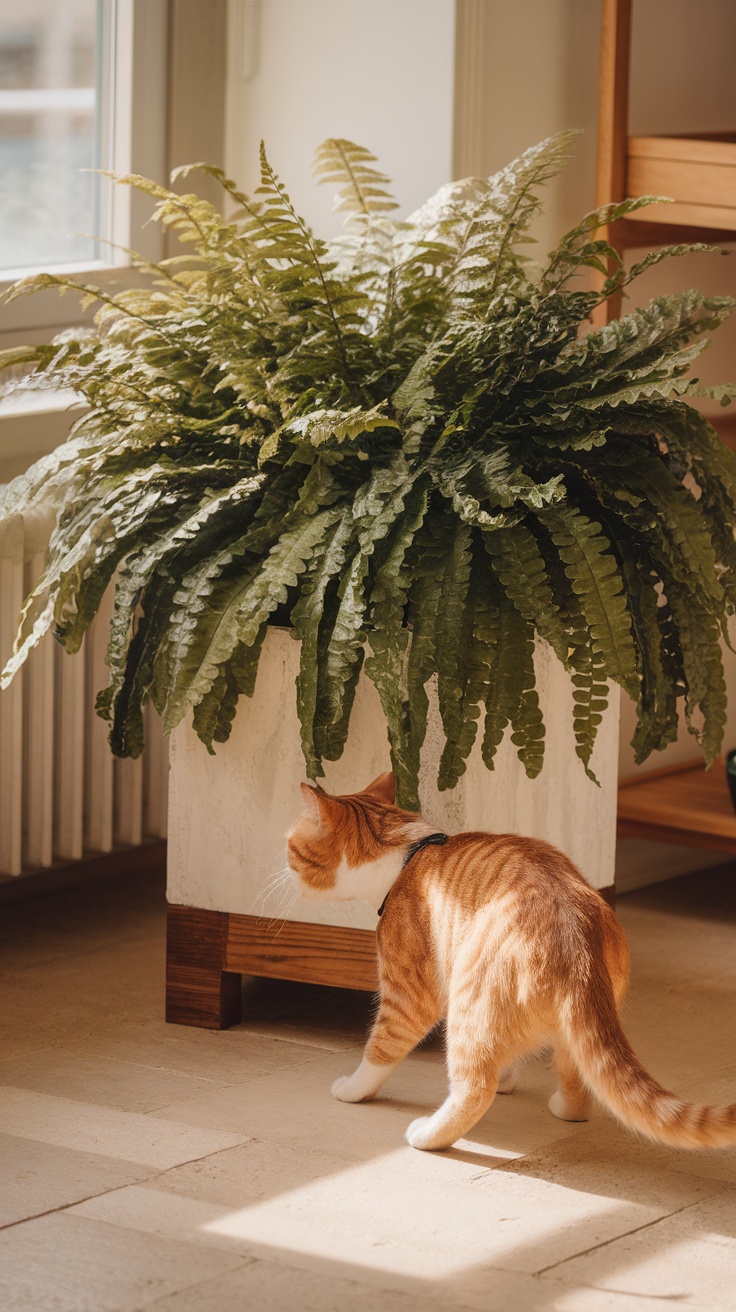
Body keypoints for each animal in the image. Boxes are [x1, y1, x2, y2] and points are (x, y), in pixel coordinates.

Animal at [287, 771, 734, 1154]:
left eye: (291, 848)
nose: (285, 872)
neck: (404, 858)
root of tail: (574, 934)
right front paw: (510, 1078)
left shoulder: (406, 997)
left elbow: (379, 1050)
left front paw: (351, 1090)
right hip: (570, 1030)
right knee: (577, 1080)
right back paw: (563, 1109)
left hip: (467, 1004)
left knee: (473, 1089)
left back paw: (427, 1135)